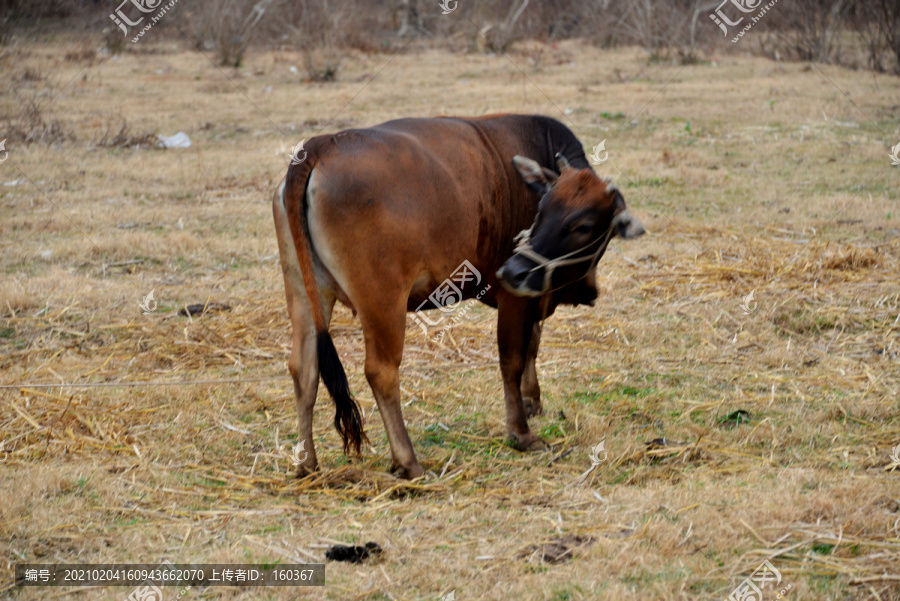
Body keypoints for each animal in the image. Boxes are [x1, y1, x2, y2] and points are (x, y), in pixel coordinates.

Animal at [270, 113, 644, 478]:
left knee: (304, 369)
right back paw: (407, 461)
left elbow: (532, 346)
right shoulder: (516, 298)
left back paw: (307, 463)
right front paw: (521, 432)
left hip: (304, 292)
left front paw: (532, 400)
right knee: (381, 372)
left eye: (583, 225)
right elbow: (512, 359)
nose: (514, 270)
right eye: (541, 210)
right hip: (383, 300)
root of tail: (324, 144)